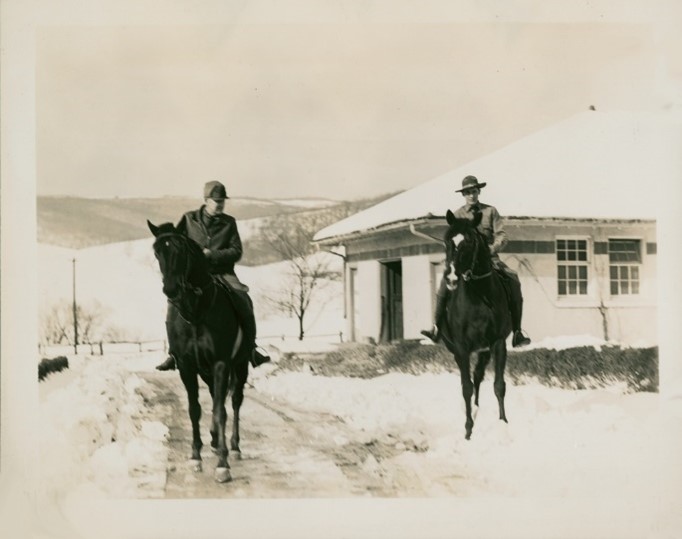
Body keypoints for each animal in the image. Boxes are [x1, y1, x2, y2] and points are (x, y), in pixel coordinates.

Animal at [147, 221, 248, 484]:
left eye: (180, 249)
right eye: (157, 251)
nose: (171, 289)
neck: (196, 311)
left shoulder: (221, 363)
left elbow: (221, 411)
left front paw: (222, 464)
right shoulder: (187, 366)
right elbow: (195, 410)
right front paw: (195, 456)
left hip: (240, 366)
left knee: (234, 402)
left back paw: (234, 446)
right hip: (206, 371)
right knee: (214, 397)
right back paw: (213, 440)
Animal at [436, 209, 510, 440]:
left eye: (468, 242)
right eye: (446, 241)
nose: (451, 278)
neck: (478, 297)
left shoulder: (498, 343)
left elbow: (499, 385)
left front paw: (503, 422)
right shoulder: (461, 348)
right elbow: (466, 388)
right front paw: (468, 429)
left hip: (484, 350)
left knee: (478, 376)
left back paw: (477, 409)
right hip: (459, 350)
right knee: (471, 380)